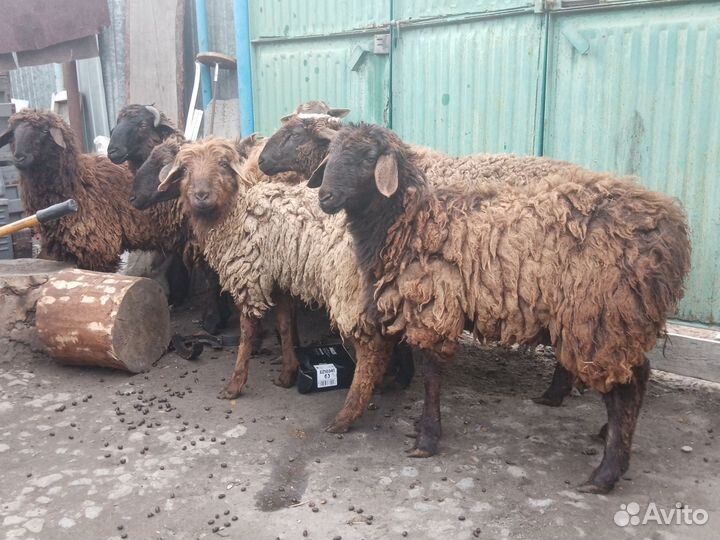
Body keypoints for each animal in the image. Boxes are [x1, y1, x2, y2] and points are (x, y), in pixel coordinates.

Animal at [157, 137, 405, 430]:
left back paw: (347, 414)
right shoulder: (279, 280)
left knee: (371, 348)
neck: (235, 213)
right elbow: (285, 326)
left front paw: (235, 384)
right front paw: (288, 374)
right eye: (185, 170)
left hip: (347, 287)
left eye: (223, 164)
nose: (201, 195)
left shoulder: (249, 275)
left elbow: (247, 333)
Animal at [308, 123, 691, 493]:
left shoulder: (433, 308)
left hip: (599, 314)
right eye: (332, 153)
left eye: (366, 157)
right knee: (636, 375)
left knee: (626, 389)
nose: (324, 197)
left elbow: (431, 375)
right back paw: (607, 436)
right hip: (619, 317)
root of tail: (670, 227)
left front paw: (427, 438)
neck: (410, 224)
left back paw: (605, 474)